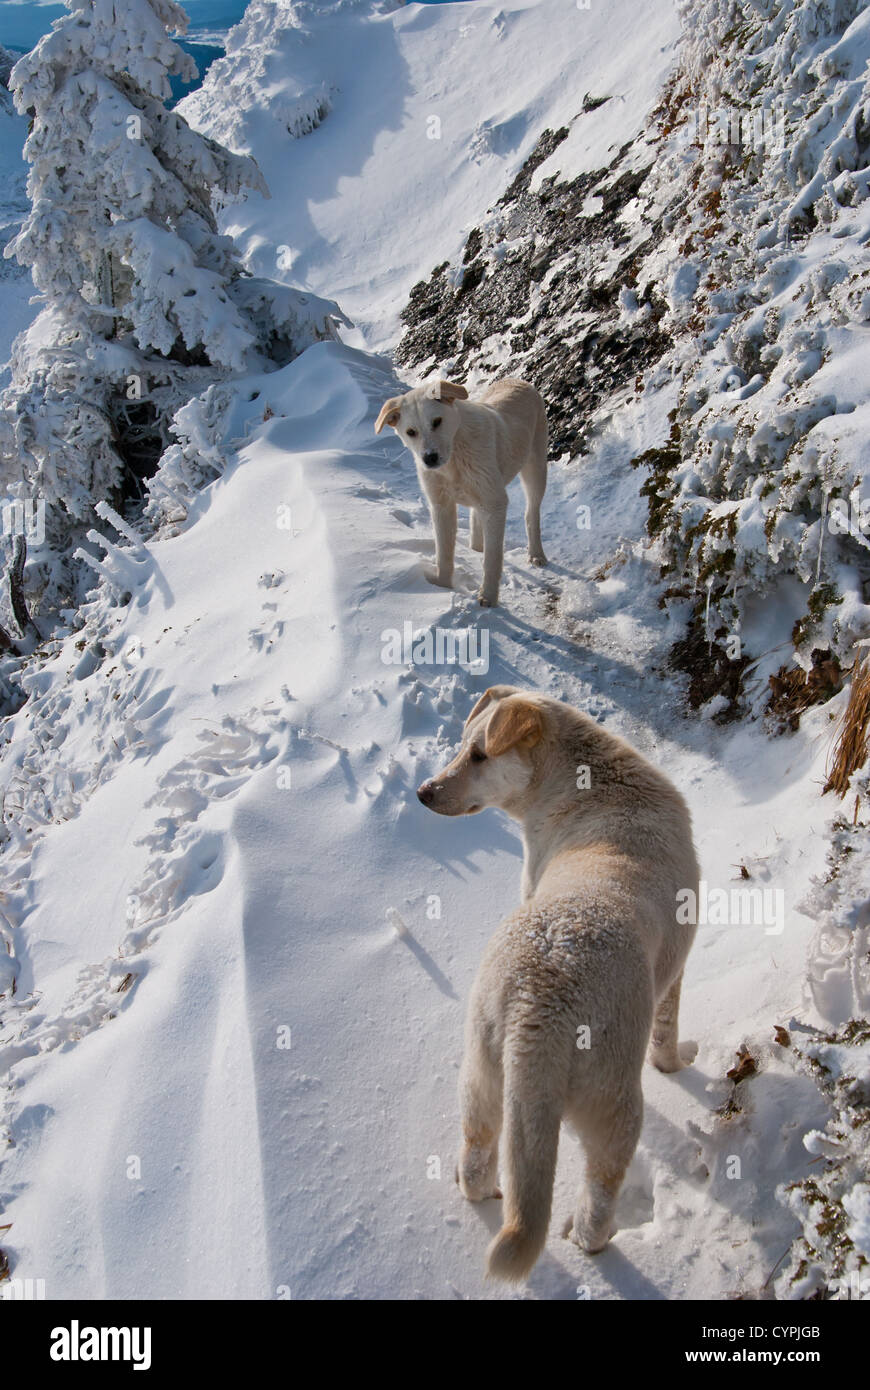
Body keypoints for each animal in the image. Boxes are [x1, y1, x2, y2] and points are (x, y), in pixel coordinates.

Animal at [369, 378, 542, 606]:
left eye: (437, 421)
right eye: (411, 432)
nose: (429, 458)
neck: (454, 458)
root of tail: (516, 380)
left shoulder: (495, 502)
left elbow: (493, 558)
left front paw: (488, 597)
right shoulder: (441, 505)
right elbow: (444, 554)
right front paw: (442, 588)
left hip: (535, 467)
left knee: (531, 512)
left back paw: (537, 554)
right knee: (477, 518)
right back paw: (476, 547)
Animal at [414, 689, 697, 1284]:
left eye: (477, 754)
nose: (423, 792)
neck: (586, 782)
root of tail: (535, 1006)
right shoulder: (677, 967)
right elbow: (667, 1033)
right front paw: (676, 1065)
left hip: (483, 1069)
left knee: (477, 1155)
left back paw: (485, 1194)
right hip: (614, 1104)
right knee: (601, 1186)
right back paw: (595, 1241)